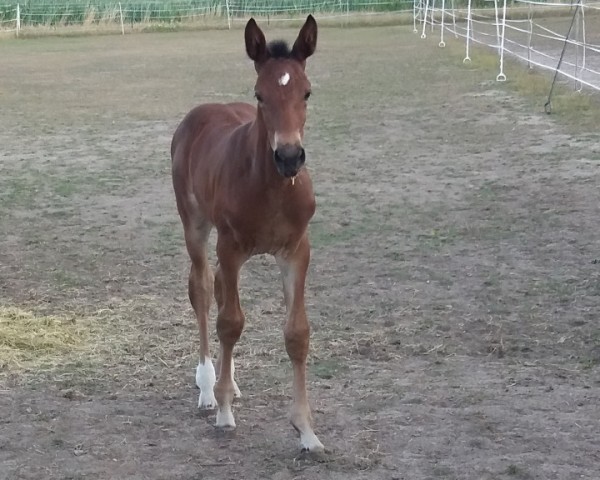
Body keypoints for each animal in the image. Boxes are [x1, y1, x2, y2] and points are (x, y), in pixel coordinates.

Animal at [170, 14, 324, 450]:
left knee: (220, 290)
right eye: (259, 95)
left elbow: (297, 333)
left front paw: (306, 431)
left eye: (307, 92)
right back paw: (208, 385)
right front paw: (223, 411)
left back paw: (230, 380)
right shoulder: (231, 246)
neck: (270, 189)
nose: (289, 157)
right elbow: (230, 323)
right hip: (196, 226)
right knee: (204, 289)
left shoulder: (296, 249)